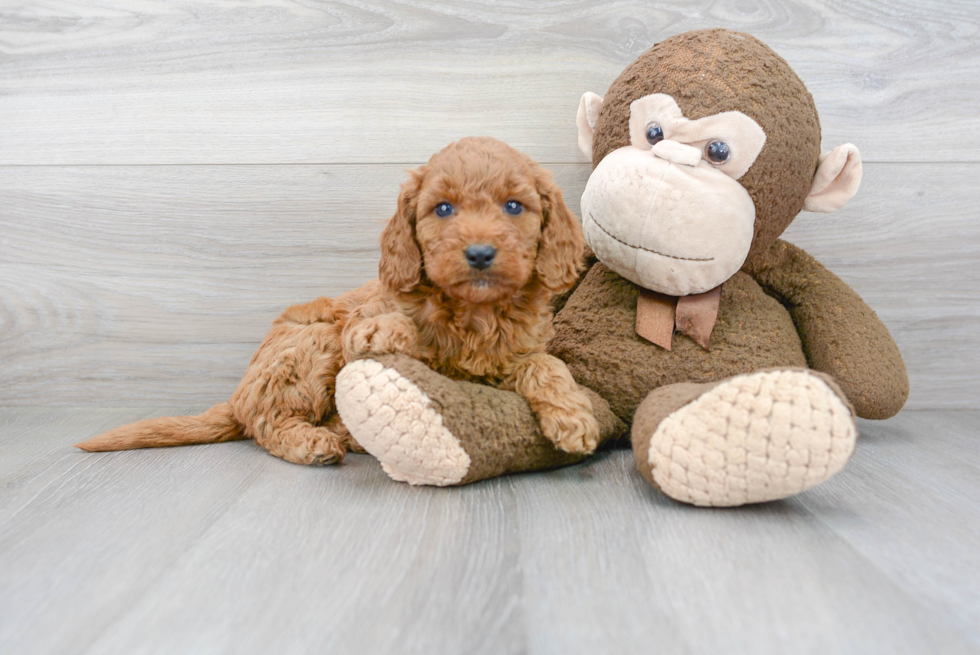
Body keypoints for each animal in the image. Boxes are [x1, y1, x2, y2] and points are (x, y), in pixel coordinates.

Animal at [76, 137, 600, 466]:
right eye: (443, 209)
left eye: (514, 206)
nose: (479, 254)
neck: (475, 310)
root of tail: (239, 393)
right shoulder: (360, 323)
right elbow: (390, 328)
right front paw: (384, 330)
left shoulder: (519, 353)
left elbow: (546, 366)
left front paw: (573, 417)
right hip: (310, 344)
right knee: (267, 422)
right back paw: (313, 441)